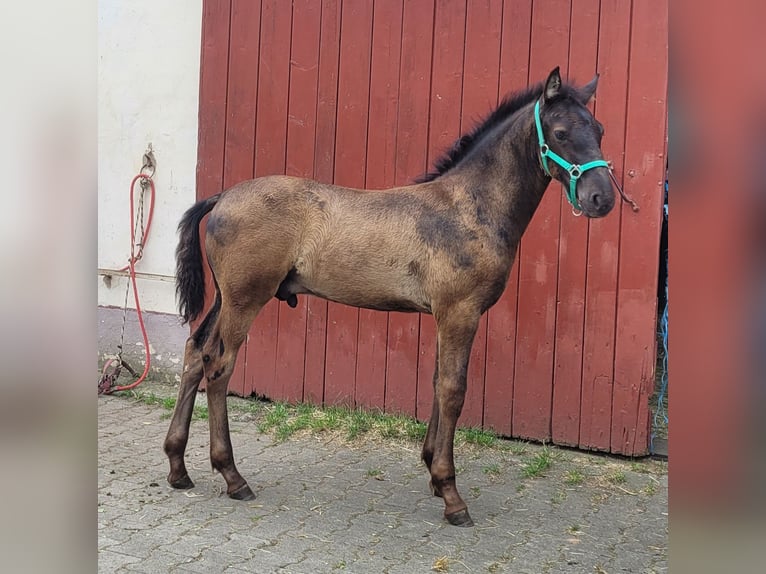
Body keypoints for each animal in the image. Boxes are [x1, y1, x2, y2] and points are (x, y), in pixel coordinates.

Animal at [164, 67, 616, 527]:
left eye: (598, 129)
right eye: (560, 133)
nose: (602, 198)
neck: (468, 207)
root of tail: (223, 196)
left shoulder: (445, 316)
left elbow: (437, 382)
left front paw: (433, 471)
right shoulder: (460, 312)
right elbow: (453, 389)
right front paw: (451, 493)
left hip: (224, 299)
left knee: (195, 352)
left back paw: (178, 468)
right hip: (244, 299)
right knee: (219, 366)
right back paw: (233, 476)